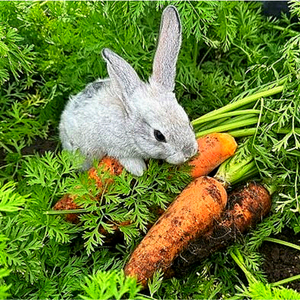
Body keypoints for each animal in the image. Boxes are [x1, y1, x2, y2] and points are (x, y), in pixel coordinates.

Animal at [59, 5, 198, 176]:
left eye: (187, 121)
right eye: (159, 135)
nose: (189, 152)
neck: (128, 125)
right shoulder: (115, 146)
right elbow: (126, 158)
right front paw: (139, 170)